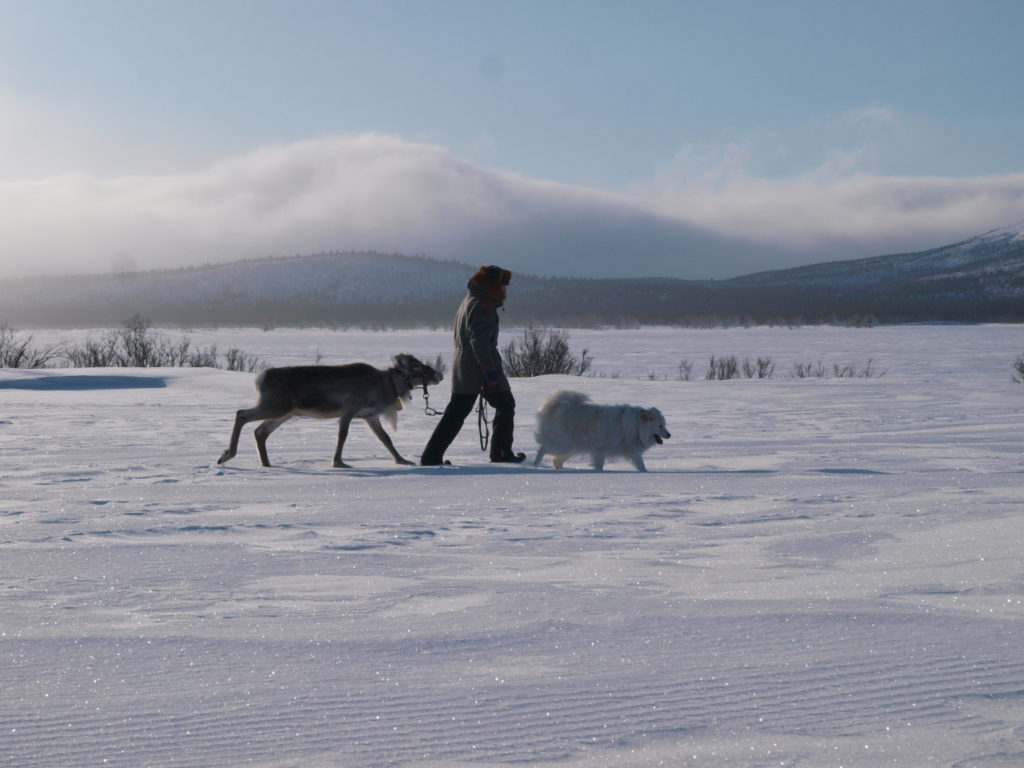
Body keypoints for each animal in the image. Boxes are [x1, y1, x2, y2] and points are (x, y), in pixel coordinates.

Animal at [536, 393, 671, 473]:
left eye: (664, 425)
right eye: (660, 426)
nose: (669, 435)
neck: (635, 426)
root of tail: (560, 406)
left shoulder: (634, 454)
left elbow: (642, 466)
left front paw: (646, 473)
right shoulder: (600, 451)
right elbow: (599, 466)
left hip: (571, 449)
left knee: (556, 460)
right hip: (562, 445)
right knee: (543, 448)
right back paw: (536, 464)